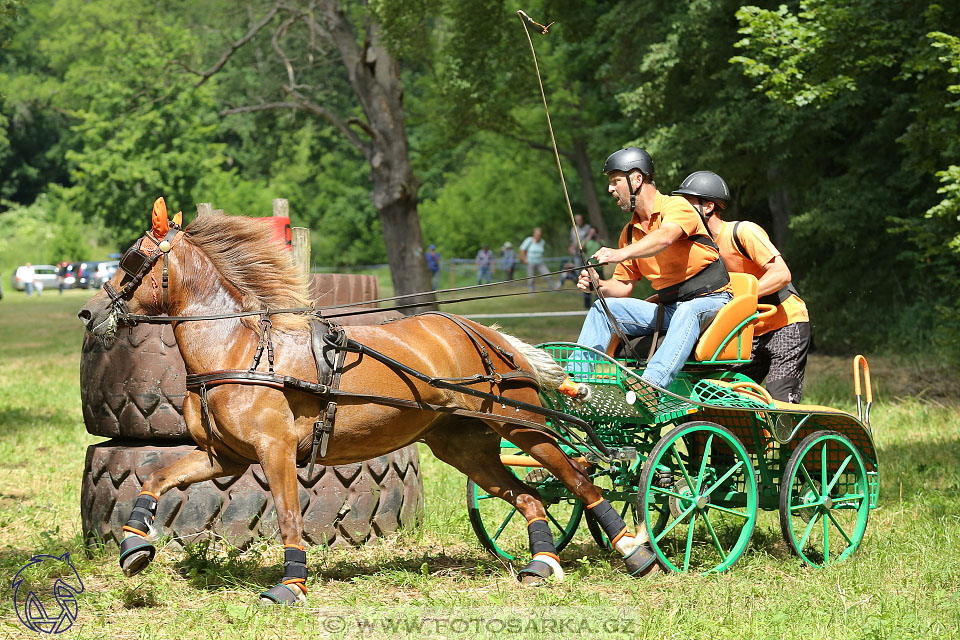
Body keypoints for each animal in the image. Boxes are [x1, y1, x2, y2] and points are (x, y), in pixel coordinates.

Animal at [79, 200, 656, 604]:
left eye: (130, 260)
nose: (89, 313)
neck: (241, 348)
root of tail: (488, 335)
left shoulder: (275, 451)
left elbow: (287, 515)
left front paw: (292, 585)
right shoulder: (225, 457)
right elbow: (156, 478)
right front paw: (134, 545)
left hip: (523, 426)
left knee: (577, 478)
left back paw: (633, 549)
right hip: (464, 445)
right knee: (530, 496)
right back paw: (541, 564)